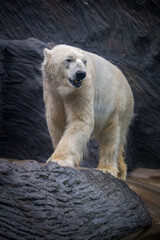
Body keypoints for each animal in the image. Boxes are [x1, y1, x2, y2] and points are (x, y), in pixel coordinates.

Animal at [41, 45, 134, 180]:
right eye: (69, 59)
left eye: (84, 62)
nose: (80, 74)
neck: (65, 88)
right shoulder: (52, 91)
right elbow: (56, 120)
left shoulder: (82, 89)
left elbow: (80, 120)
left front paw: (58, 159)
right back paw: (121, 172)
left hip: (119, 102)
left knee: (111, 134)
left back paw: (107, 169)